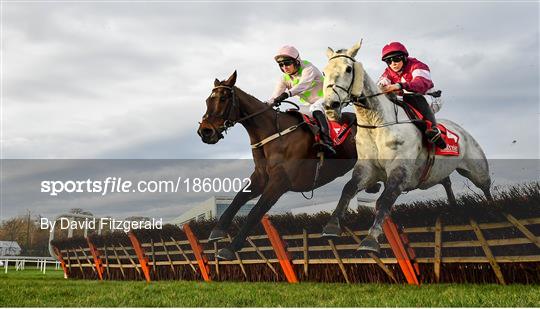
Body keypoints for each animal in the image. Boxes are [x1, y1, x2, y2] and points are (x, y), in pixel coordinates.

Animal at [195, 71, 358, 258]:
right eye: (207, 100)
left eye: (223, 98)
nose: (205, 132)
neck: (273, 133)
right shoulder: (260, 176)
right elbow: (238, 199)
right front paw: (217, 231)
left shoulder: (280, 181)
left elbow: (256, 210)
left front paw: (230, 247)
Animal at [320, 41, 494, 253]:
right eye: (324, 71)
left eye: (348, 69)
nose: (330, 106)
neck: (377, 124)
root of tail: (462, 130)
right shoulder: (367, 168)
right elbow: (348, 189)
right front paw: (331, 227)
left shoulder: (400, 170)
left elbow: (385, 200)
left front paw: (370, 240)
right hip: (439, 171)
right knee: (446, 182)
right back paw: (453, 207)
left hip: (477, 170)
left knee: (486, 188)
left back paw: (493, 209)